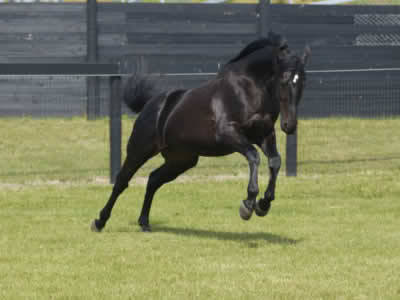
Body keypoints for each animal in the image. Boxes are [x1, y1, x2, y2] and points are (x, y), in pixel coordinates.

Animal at [92, 32, 310, 232]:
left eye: (302, 81)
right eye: (283, 80)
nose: (289, 125)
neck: (246, 90)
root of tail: (152, 104)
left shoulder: (264, 134)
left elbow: (275, 161)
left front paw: (263, 204)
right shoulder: (229, 134)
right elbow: (254, 157)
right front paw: (248, 205)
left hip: (181, 159)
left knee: (153, 179)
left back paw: (144, 222)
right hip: (140, 150)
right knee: (122, 181)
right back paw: (100, 221)